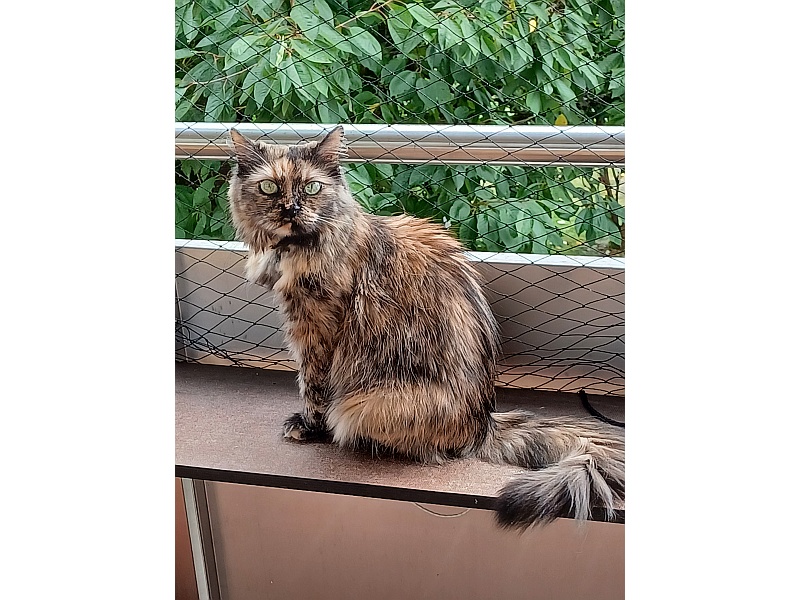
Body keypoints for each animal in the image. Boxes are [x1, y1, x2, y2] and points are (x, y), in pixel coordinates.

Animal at [227, 126, 624, 528]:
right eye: (269, 188)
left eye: (311, 188)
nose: (291, 209)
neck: (293, 250)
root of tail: (483, 424)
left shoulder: (316, 326)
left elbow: (312, 386)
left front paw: (308, 427)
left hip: (362, 404)